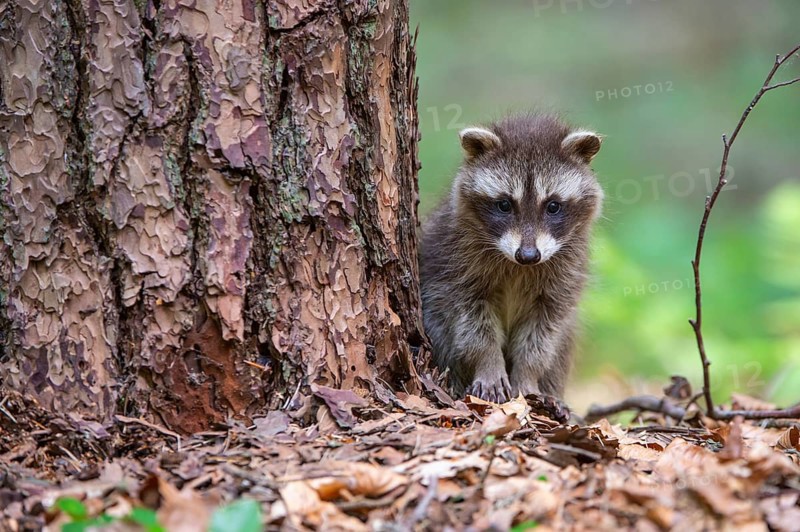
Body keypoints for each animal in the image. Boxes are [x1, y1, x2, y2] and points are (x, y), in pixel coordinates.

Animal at [420, 114, 604, 403]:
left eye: (553, 206)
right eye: (504, 205)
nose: (528, 255)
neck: (519, 267)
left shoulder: (565, 272)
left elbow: (544, 333)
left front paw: (528, 375)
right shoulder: (455, 263)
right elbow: (472, 325)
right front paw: (489, 365)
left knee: (563, 345)